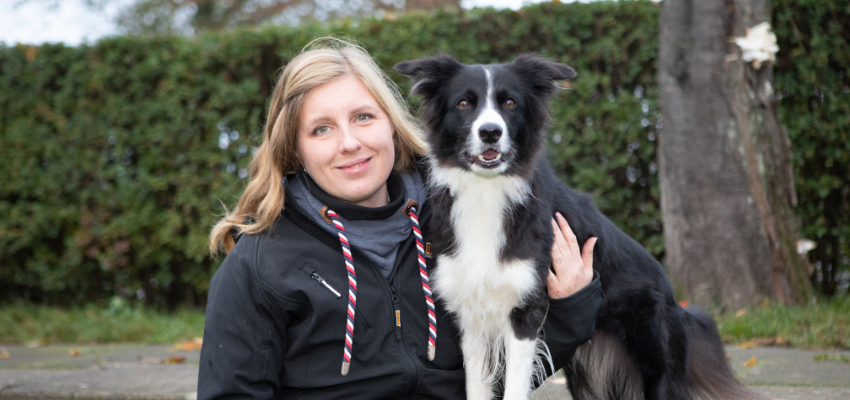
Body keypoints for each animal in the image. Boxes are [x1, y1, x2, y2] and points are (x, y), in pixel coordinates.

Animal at [392, 55, 748, 400]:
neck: (487, 191)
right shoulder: (471, 316)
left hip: (658, 363)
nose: (490, 132)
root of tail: (677, 303)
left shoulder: (526, 313)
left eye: (510, 103)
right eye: (464, 103)